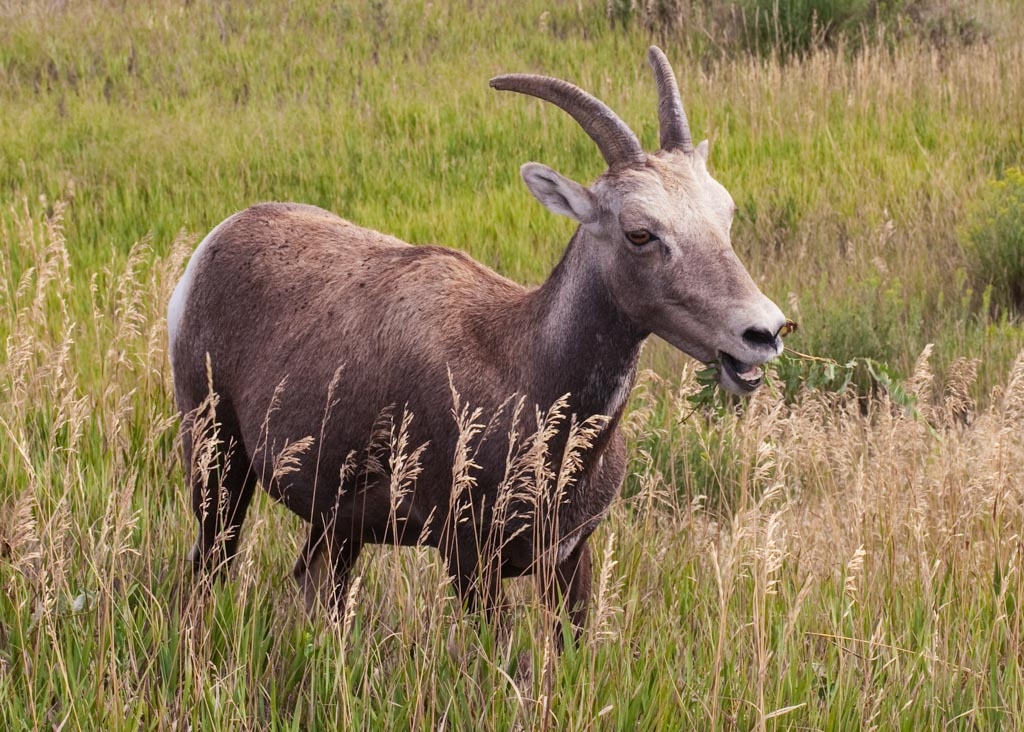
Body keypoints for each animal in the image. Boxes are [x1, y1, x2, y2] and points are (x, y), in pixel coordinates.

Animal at [167, 46, 786, 642]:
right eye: (640, 232)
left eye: (725, 212)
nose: (763, 332)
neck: (525, 369)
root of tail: (216, 242)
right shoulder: (468, 560)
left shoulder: (570, 559)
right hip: (218, 466)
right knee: (209, 569)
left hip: (335, 529)